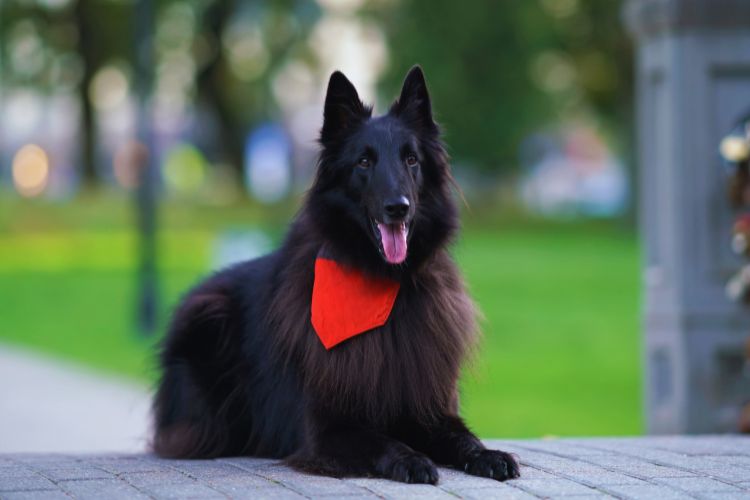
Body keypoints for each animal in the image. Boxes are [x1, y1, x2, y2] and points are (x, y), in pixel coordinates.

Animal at [153, 66, 524, 484]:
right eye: (363, 162)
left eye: (411, 160)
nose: (398, 207)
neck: (386, 286)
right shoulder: (328, 428)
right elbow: (382, 441)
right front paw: (411, 459)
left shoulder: (430, 406)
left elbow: (462, 436)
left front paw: (488, 454)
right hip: (207, 318)